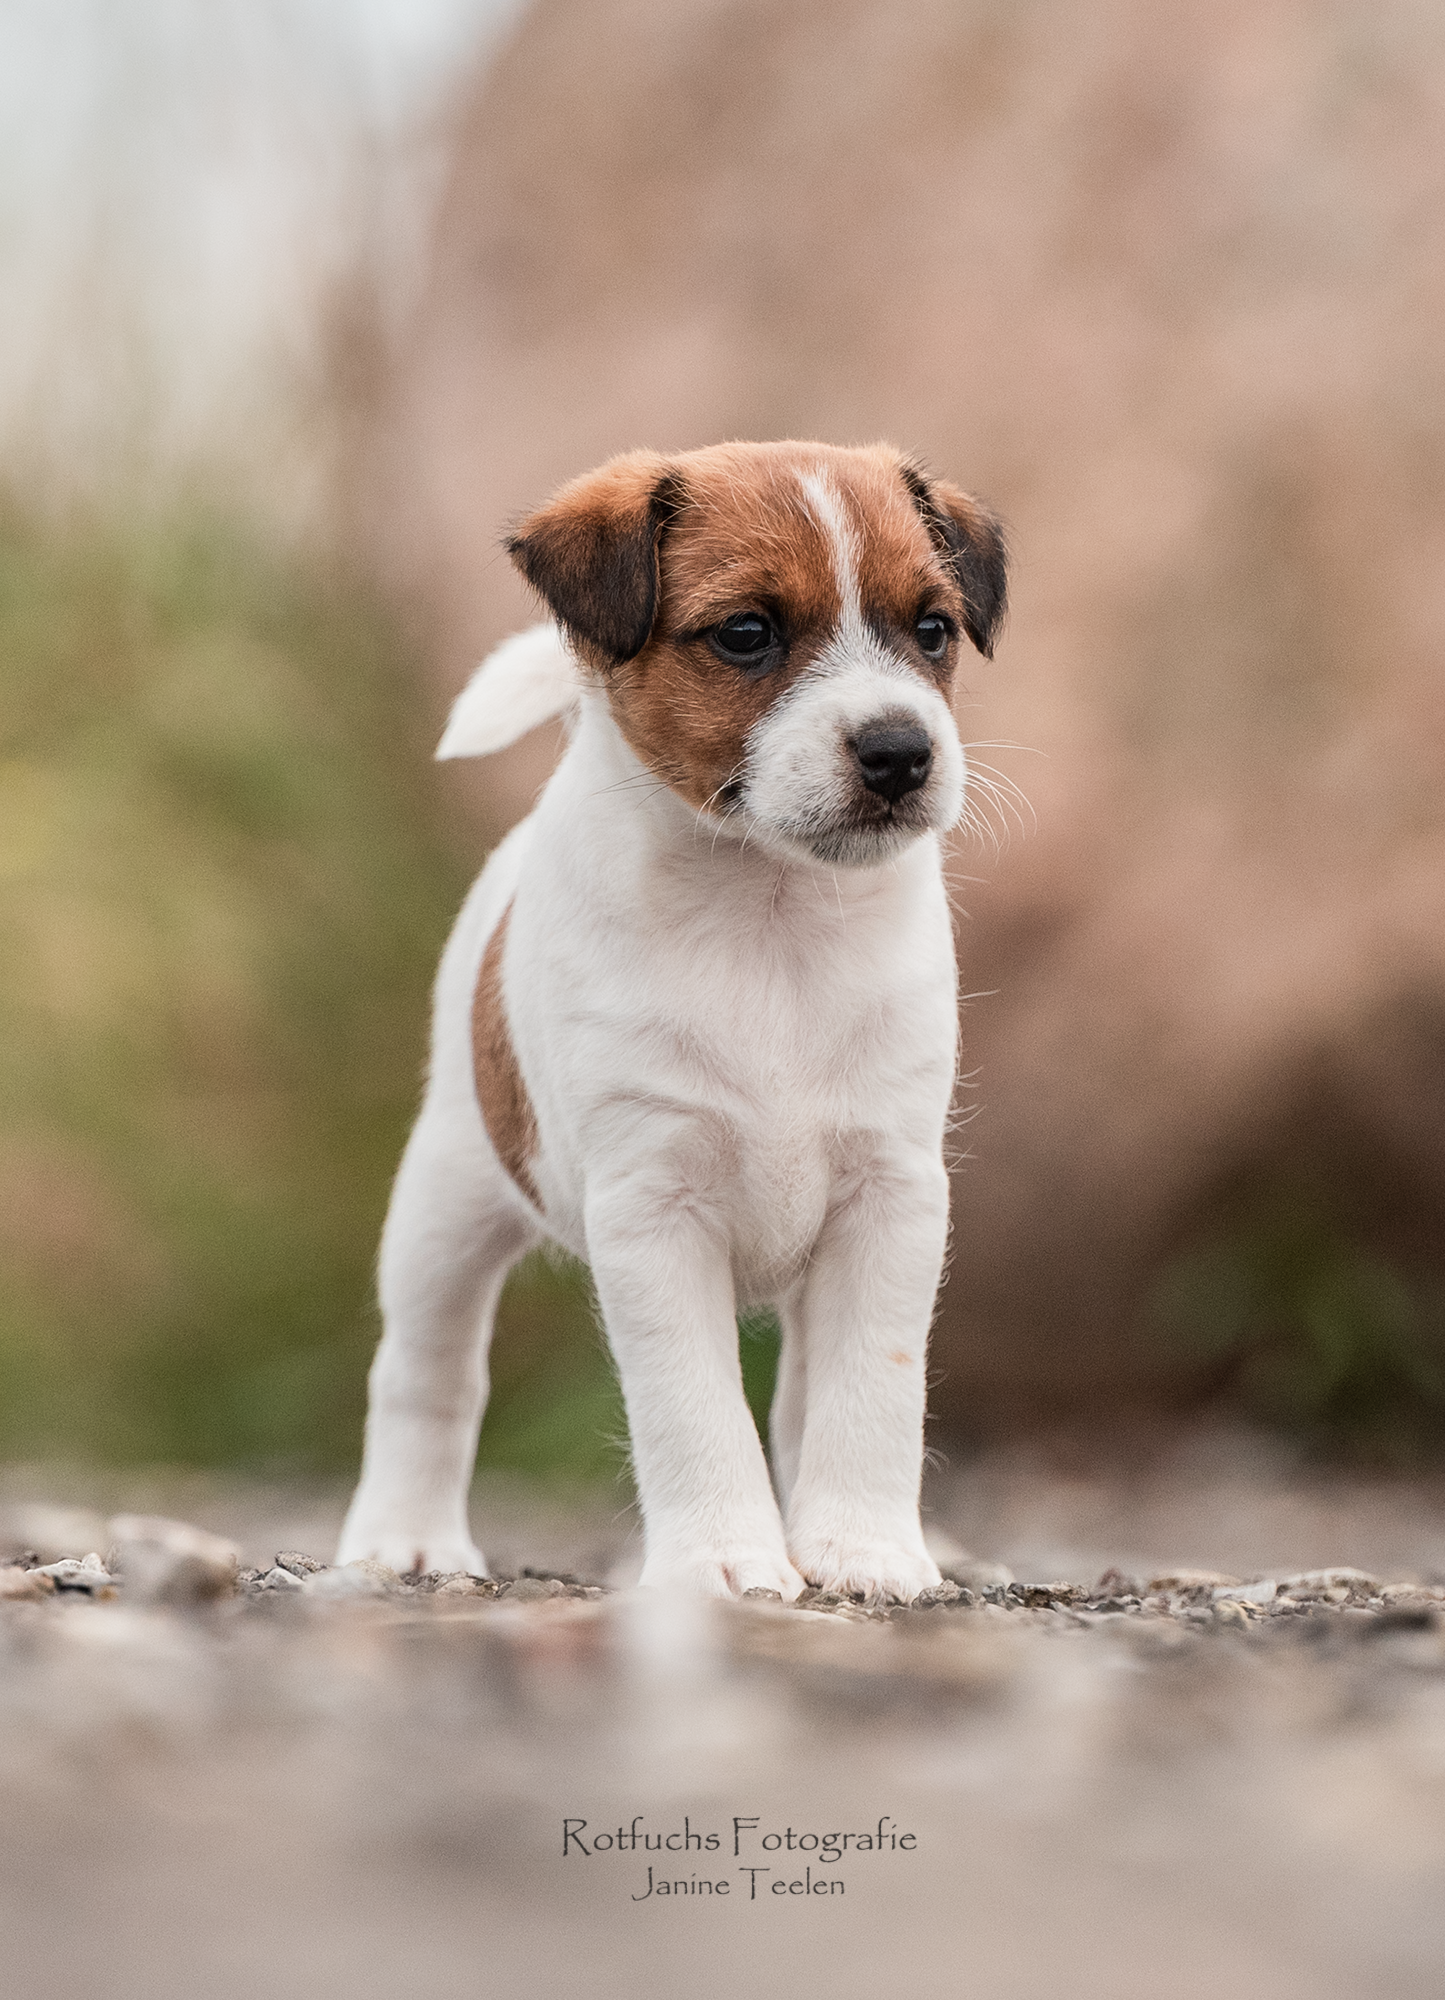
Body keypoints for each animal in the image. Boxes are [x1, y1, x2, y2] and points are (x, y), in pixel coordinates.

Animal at [334, 446, 1000, 1600]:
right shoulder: (653, 1208)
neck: (770, 920)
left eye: (930, 629)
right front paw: (726, 1561)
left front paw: (862, 1549)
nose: (899, 750)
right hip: (444, 1204)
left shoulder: (890, 1197)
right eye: (746, 633)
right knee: (426, 1372)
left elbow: (871, 1392)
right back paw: (403, 1540)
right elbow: (691, 1406)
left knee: (803, 1396)